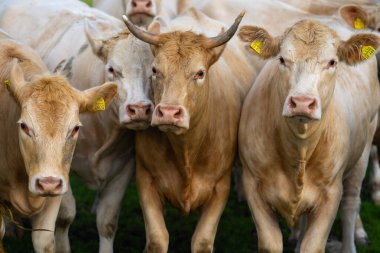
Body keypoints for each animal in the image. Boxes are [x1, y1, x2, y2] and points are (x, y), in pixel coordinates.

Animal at [123, 7, 255, 251]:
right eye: (154, 70)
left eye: (200, 73)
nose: (168, 112)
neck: (187, 150)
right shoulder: (145, 180)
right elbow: (157, 238)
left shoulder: (220, 187)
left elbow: (202, 240)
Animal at [239, 18, 378, 253]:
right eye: (282, 59)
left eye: (332, 62)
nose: (302, 102)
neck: (298, 149)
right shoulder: (253, 187)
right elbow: (271, 244)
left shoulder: (330, 194)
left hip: (364, 148)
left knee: (350, 203)